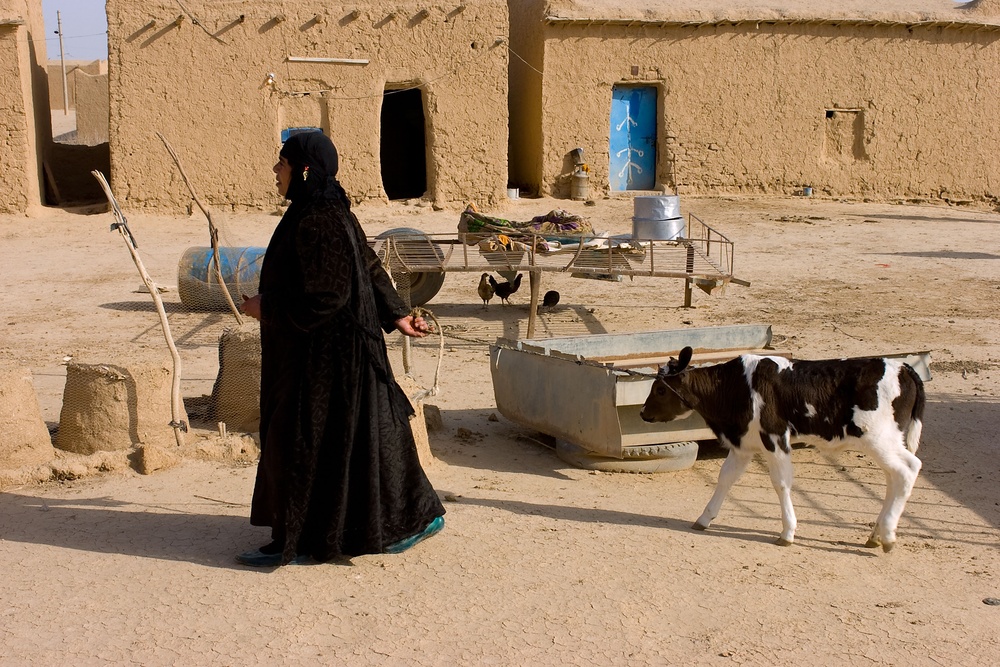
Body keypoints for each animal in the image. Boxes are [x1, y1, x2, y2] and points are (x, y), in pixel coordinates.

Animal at [644, 348, 924, 552]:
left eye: (660, 390)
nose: (643, 413)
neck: (736, 386)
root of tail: (903, 367)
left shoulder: (775, 438)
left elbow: (781, 483)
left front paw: (787, 532)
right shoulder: (743, 444)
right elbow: (726, 478)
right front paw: (704, 518)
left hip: (880, 439)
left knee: (908, 469)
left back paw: (887, 535)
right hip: (888, 442)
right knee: (893, 479)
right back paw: (876, 534)